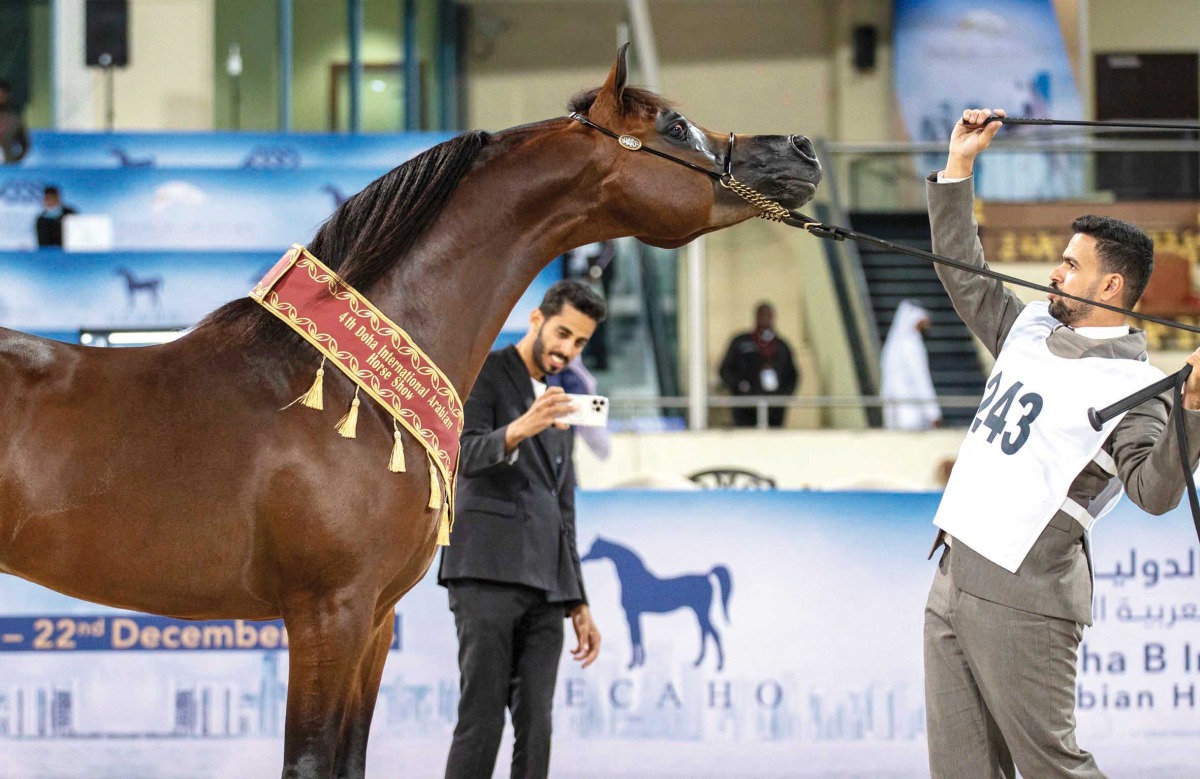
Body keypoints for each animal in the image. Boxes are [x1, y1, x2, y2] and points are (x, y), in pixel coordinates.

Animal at [0, 45, 820, 772]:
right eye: (675, 126)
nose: (804, 149)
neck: (344, 391)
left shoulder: (374, 620)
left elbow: (352, 758)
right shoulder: (327, 613)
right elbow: (311, 758)